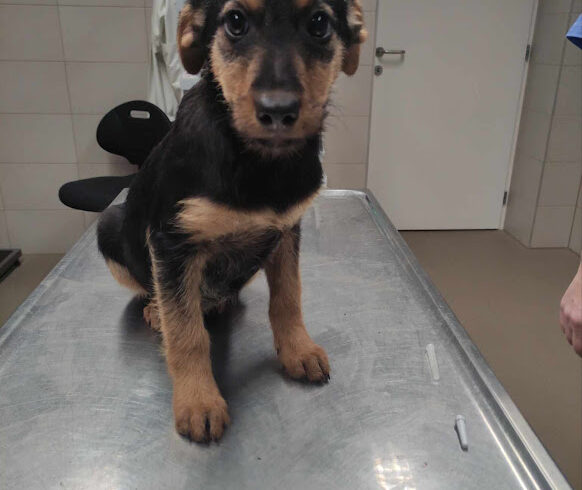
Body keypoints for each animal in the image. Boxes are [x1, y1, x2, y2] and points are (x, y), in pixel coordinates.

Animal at [97, 0, 366, 443]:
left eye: (319, 23)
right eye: (235, 22)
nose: (278, 111)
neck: (259, 163)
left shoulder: (286, 230)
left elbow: (288, 297)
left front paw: (298, 350)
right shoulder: (172, 242)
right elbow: (187, 332)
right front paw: (198, 401)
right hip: (109, 224)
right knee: (154, 292)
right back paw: (155, 308)